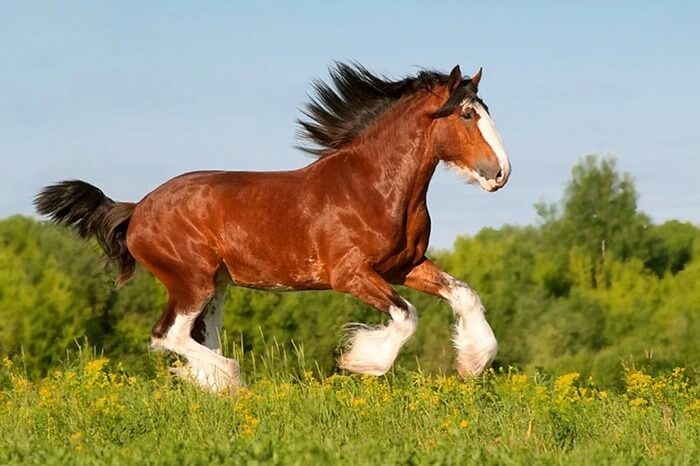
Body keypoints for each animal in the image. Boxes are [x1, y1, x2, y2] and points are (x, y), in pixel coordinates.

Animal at [35, 63, 511, 391]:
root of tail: (136, 210)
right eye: (467, 115)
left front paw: (473, 363)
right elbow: (406, 315)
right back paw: (227, 381)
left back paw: (211, 382)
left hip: (216, 286)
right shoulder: (351, 275)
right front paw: (359, 361)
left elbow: (465, 294)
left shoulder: (404, 266)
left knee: (197, 335)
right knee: (166, 334)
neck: (373, 185)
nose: (501, 173)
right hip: (190, 281)